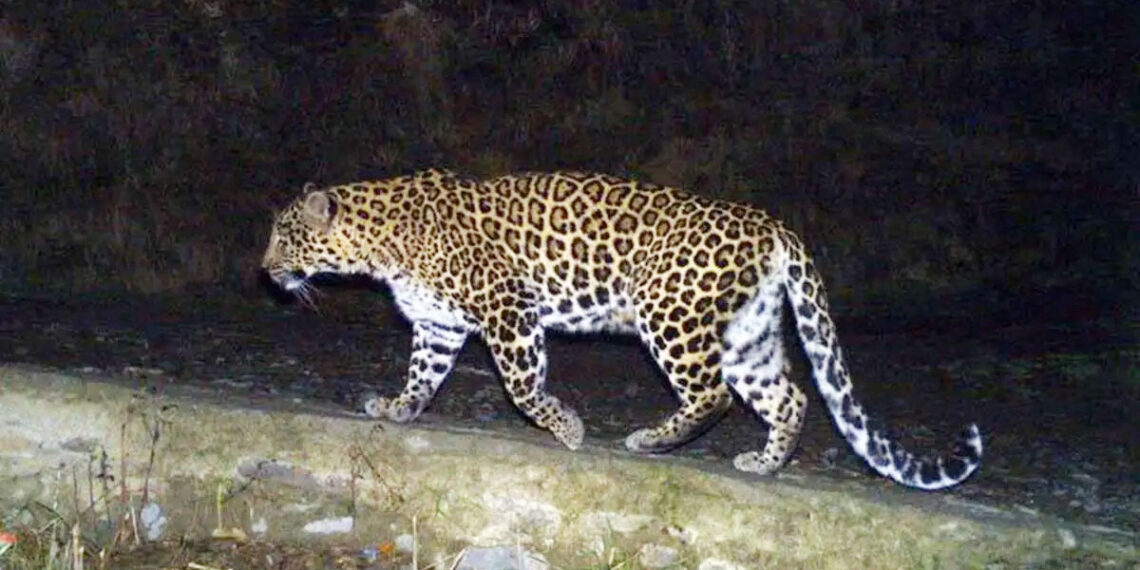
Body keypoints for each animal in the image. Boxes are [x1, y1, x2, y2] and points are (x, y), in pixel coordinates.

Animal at [261, 168, 983, 490]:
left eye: (285, 236)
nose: (265, 270)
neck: (379, 241)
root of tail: (771, 224)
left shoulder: (507, 307)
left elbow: (522, 386)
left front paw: (568, 429)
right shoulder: (438, 325)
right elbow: (422, 376)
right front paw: (398, 408)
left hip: (671, 314)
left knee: (713, 395)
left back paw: (651, 440)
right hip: (746, 334)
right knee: (791, 397)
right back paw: (763, 462)